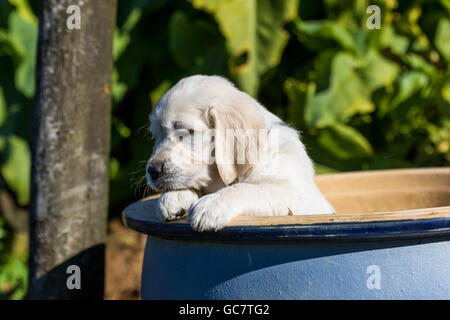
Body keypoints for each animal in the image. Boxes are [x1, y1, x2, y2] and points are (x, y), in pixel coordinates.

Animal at [145, 74, 334, 230]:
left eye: (185, 132)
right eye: (155, 136)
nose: (153, 171)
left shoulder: (292, 193)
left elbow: (247, 188)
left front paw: (211, 205)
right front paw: (172, 197)